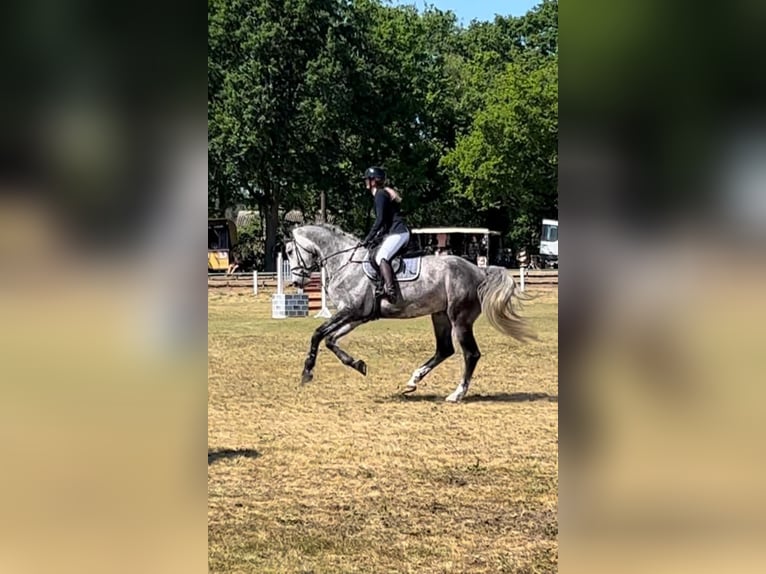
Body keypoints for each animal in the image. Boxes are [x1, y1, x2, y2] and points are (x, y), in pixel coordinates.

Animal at [285, 223, 535, 402]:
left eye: (288, 251)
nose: (297, 281)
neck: (345, 262)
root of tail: (479, 270)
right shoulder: (356, 316)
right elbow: (330, 339)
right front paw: (358, 364)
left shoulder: (350, 311)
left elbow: (318, 334)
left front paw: (307, 372)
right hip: (440, 316)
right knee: (444, 349)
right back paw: (413, 381)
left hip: (460, 319)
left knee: (470, 354)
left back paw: (456, 394)